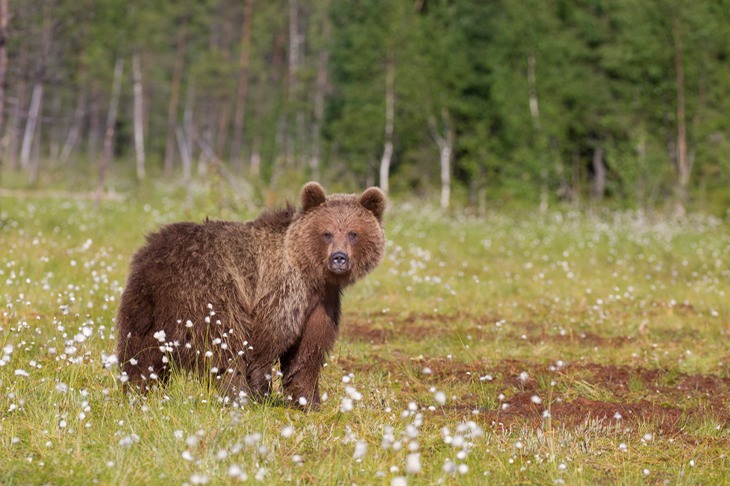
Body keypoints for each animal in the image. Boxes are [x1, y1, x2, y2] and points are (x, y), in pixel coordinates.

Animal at [115, 184, 386, 408]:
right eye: (327, 232)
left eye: (353, 233)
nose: (339, 258)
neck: (312, 273)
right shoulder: (282, 290)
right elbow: (268, 340)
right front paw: (261, 392)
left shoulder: (321, 303)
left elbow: (307, 354)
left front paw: (308, 401)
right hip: (209, 291)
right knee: (223, 343)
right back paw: (238, 395)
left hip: (145, 305)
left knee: (140, 351)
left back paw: (136, 389)